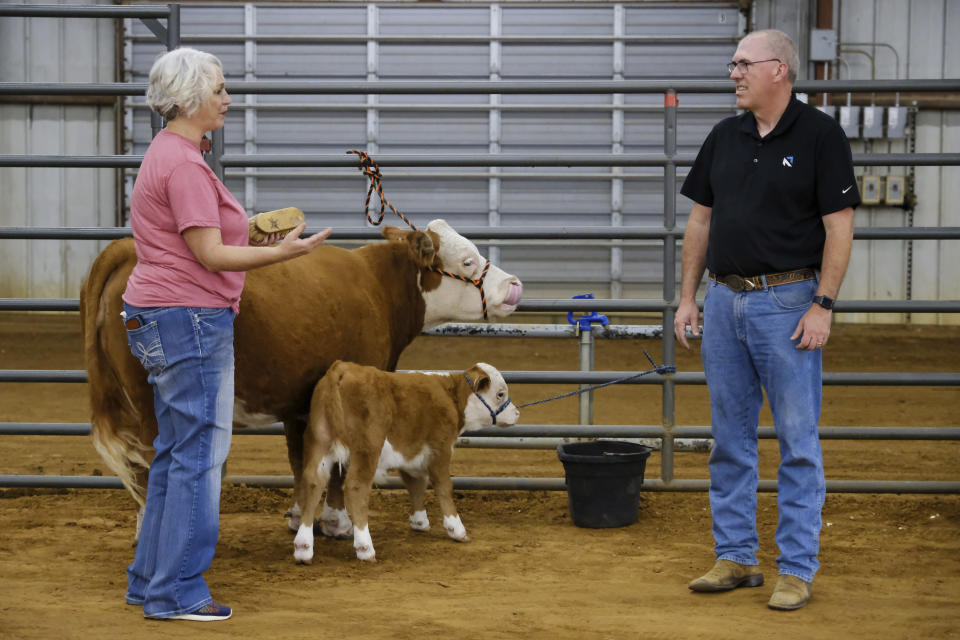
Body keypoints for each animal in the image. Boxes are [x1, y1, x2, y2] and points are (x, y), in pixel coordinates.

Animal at [79, 220, 520, 536]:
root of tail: (127, 250)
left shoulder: (298, 400)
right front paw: (339, 524)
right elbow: (340, 467)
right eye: (467, 260)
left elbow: (299, 459)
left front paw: (298, 517)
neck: (377, 286)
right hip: (151, 402)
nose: (514, 286)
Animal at [292, 360, 516, 564]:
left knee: (313, 483)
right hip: (367, 448)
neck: (451, 396)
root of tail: (340, 369)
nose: (517, 413)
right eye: (500, 394)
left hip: (318, 441)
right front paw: (456, 529)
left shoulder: (412, 454)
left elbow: (416, 484)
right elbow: (444, 486)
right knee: (356, 487)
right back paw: (365, 548)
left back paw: (303, 548)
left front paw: (419, 521)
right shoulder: (440, 448)